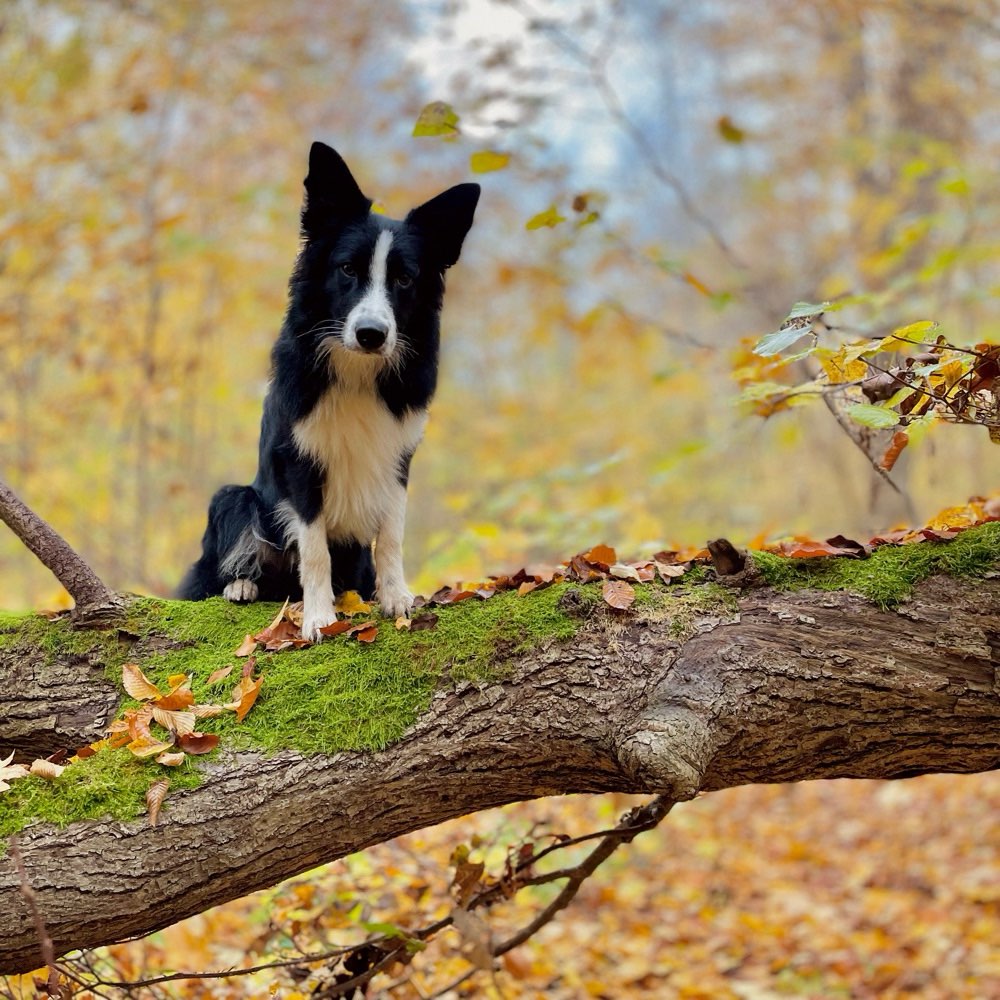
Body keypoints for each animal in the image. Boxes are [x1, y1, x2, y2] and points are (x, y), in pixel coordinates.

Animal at [180, 143, 480, 640]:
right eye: (347, 270)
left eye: (404, 279)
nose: (372, 334)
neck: (357, 369)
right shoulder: (301, 459)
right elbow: (314, 547)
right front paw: (319, 617)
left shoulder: (398, 456)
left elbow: (392, 534)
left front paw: (395, 597)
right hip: (236, 497)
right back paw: (241, 585)